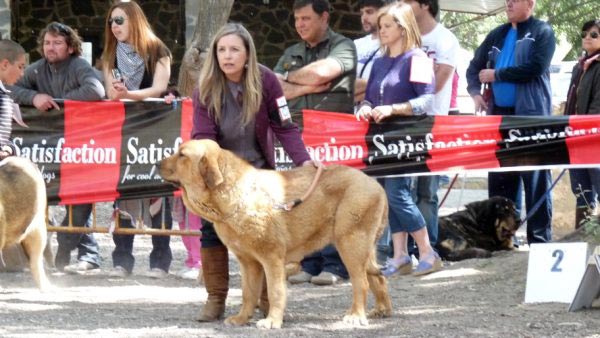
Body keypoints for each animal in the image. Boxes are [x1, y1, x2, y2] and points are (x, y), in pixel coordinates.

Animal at [158, 139, 394, 328]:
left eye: (182, 155)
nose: (156, 163)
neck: (232, 194)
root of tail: (376, 185)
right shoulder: (248, 262)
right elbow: (248, 293)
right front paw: (241, 319)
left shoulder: (271, 258)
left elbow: (275, 291)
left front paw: (272, 321)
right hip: (362, 248)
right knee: (377, 278)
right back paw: (382, 310)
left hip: (350, 243)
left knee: (361, 282)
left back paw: (356, 316)